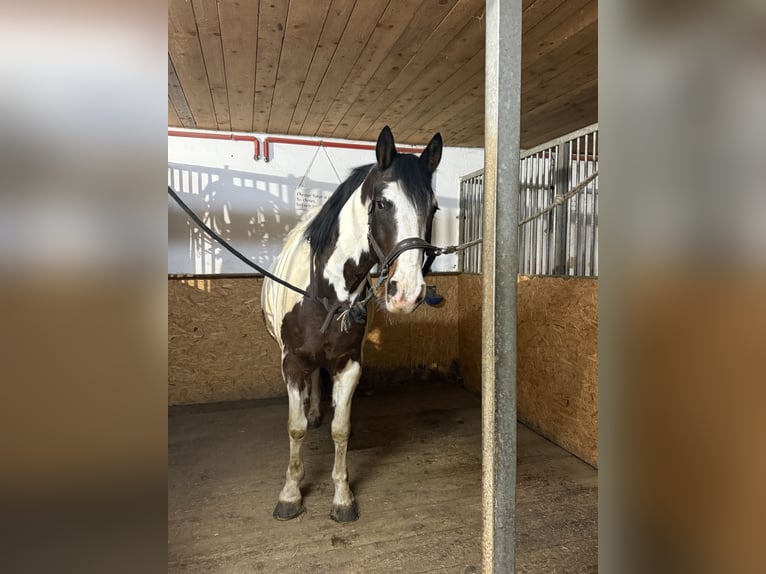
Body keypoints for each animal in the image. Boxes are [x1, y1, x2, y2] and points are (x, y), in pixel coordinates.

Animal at [261, 126, 442, 522]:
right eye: (382, 204)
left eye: (434, 208)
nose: (407, 292)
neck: (326, 292)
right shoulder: (291, 363)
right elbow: (295, 429)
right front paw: (290, 495)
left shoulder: (349, 365)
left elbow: (340, 430)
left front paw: (342, 496)